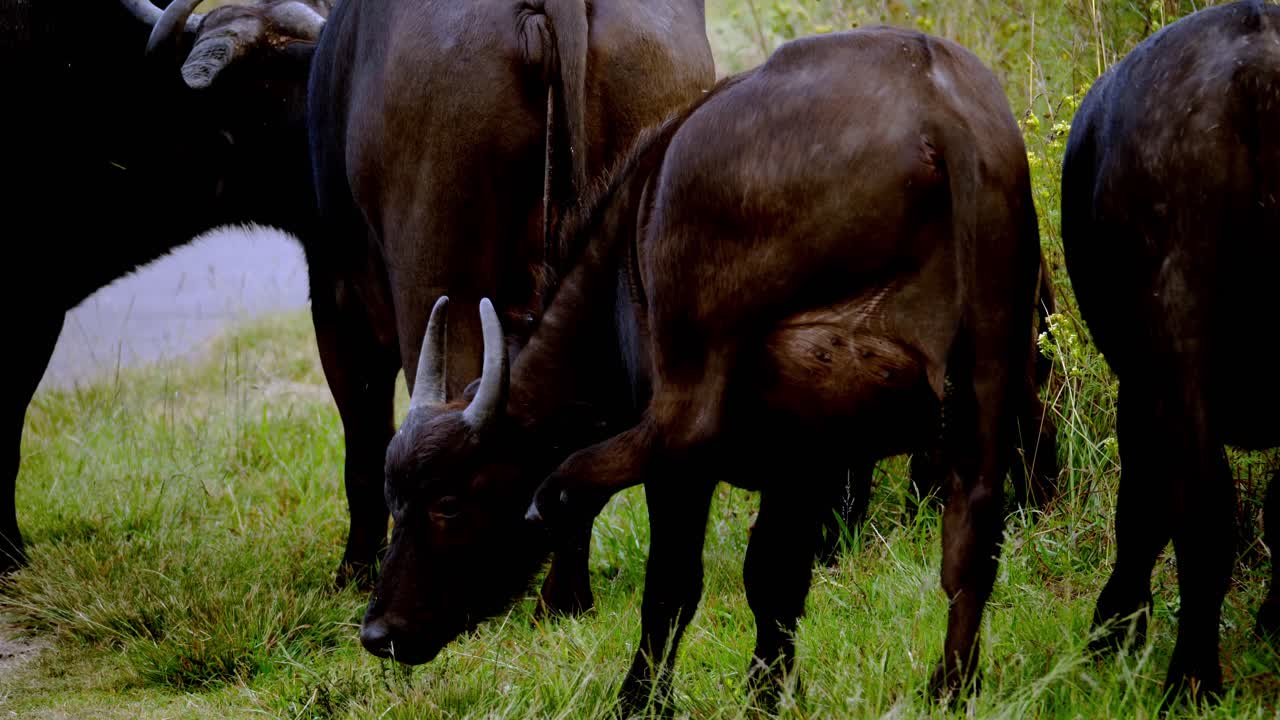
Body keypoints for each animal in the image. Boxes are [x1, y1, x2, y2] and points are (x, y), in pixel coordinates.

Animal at [362, 25, 1048, 714]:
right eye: (397, 502)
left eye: (449, 502)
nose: (378, 632)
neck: (617, 266)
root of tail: (935, 106)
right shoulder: (803, 465)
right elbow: (775, 579)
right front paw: (768, 690)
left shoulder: (711, 470)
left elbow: (674, 585)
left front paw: (642, 699)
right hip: (991, 364)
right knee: (973, 527)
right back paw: (952, 685)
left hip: (706, 362)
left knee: (675, 434)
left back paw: (559, 489)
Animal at [1061, 0, 1280, 704]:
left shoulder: (1138, 383)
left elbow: (1140, 506)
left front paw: (1115, 626)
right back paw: (1193, 675)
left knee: (1199, 505)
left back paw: (1190, 677)